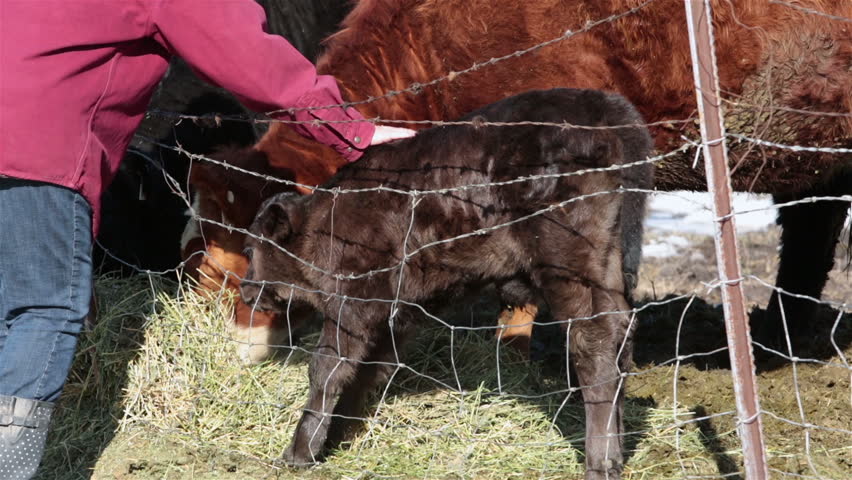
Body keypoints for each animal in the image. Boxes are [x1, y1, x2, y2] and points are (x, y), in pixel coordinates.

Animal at [240, 88, 654, 480]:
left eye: (249, 249)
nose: (245, 291)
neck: (325, 224)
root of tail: (608, 106)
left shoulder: (355, 302)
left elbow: (328, 369)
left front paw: (299, 451)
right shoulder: (398, 312)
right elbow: (370, 369)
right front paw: (338, 436)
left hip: (569, 266)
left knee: (593, 344)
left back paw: (600, 462)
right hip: (608, 268)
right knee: (621, 335)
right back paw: (616, 452)